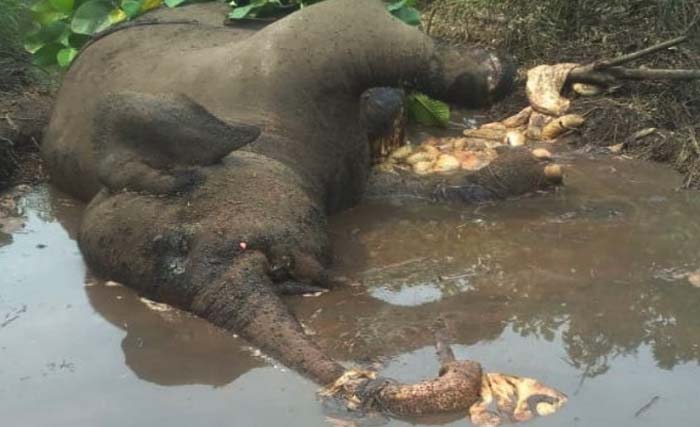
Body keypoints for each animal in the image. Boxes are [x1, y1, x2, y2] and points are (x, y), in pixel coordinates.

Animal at [41, 0, 564, 418]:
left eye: (177, 243)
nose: (359, 387)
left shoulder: (298, 54)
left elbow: (362, 22)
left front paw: (505, 73)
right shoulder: (333, 182)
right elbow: (392, 192)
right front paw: (536, 172)